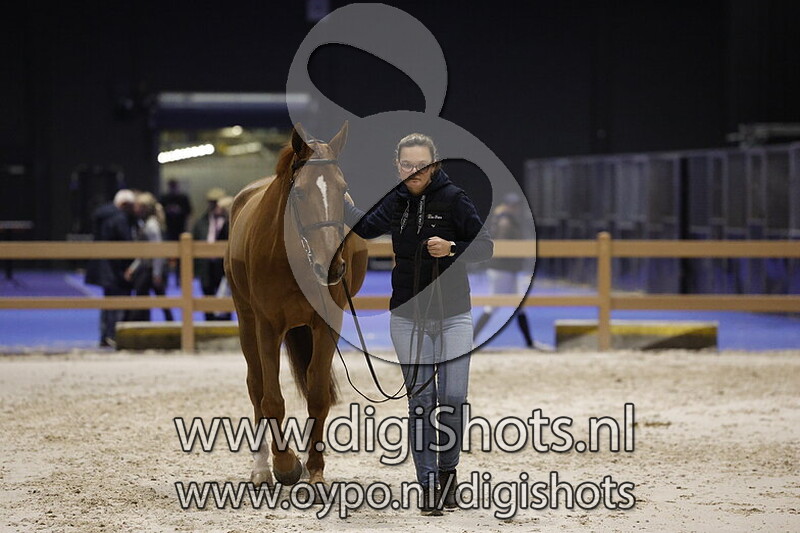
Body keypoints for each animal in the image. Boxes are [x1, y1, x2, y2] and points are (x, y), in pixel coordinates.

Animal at [224, 121, 368, 488]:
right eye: (300, 193)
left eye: (343, 189)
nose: (332, 267)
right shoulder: (267, 325)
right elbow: (271, 398)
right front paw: (286, 464)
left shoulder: (327, 324)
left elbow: (317, 394)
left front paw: (314, 469)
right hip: (246, 320)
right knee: (256, 385)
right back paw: (262, 467)